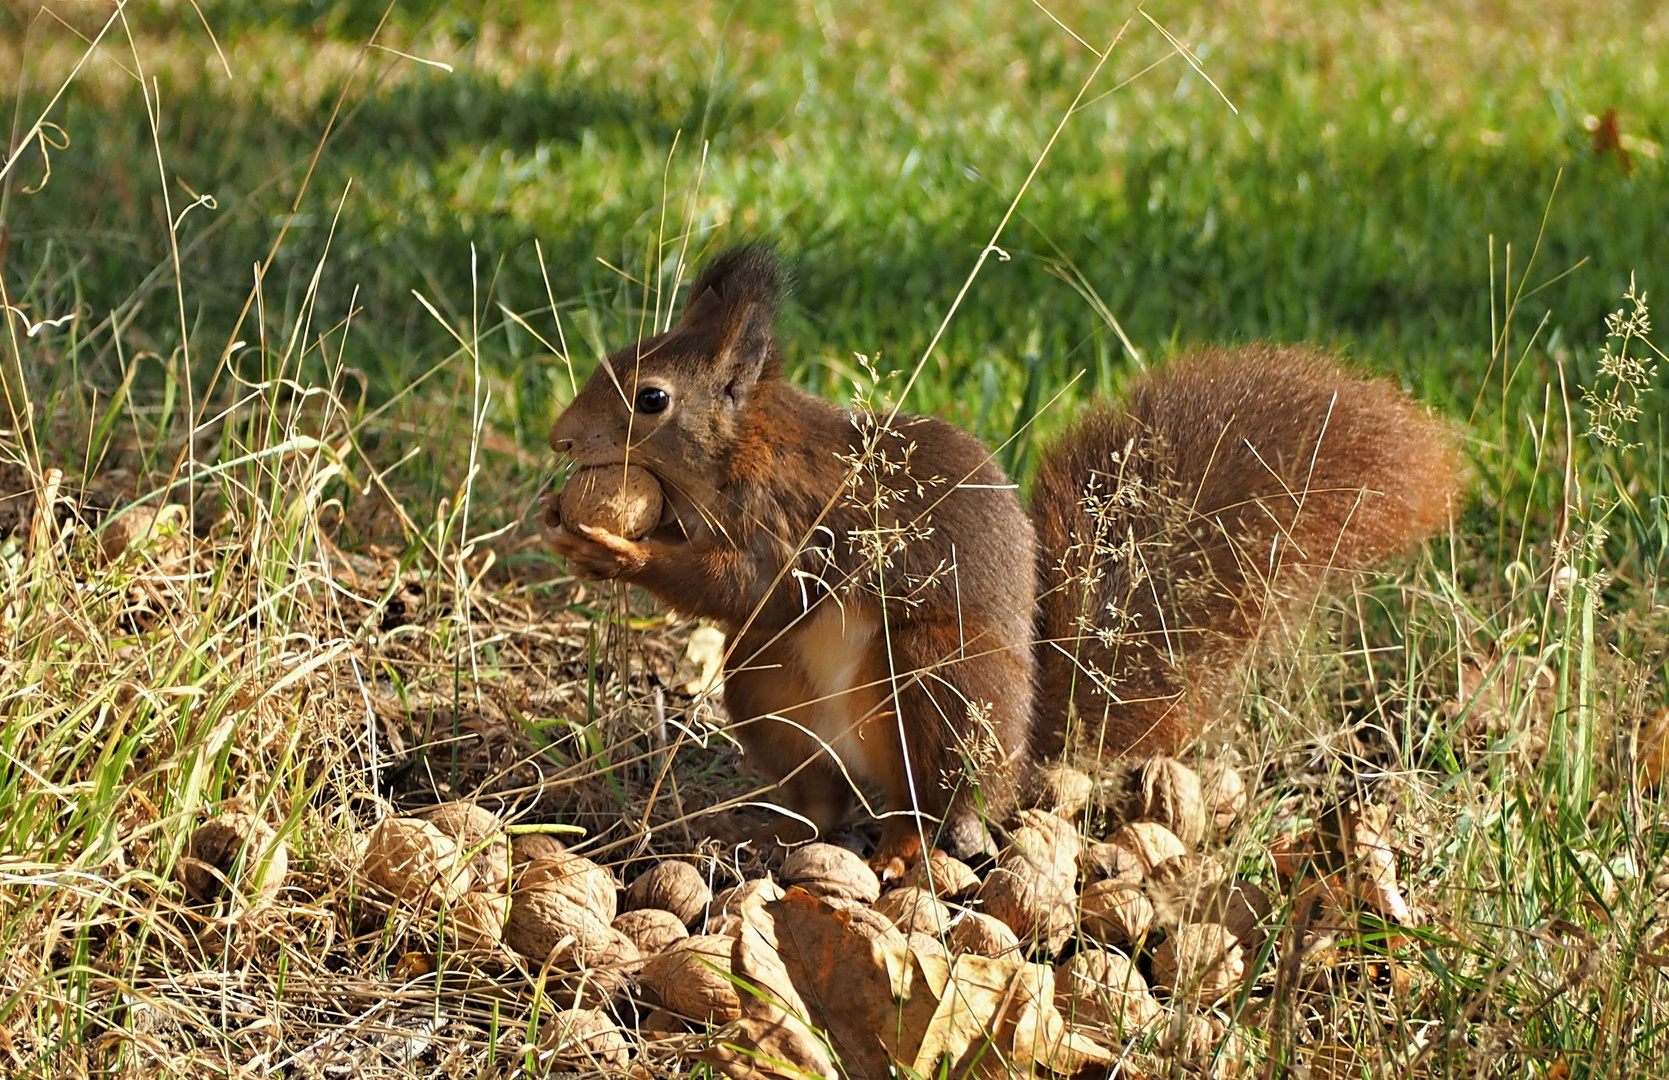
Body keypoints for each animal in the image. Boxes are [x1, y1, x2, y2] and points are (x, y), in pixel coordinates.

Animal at [547, 247, 1462, 881]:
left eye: (651, 398)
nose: (558, 440)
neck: (736, 450)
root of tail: (1023, 755)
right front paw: (561, 522)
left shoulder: (794, 518)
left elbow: (745, 584)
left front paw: (616, 546)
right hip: (766, 690)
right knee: (822, 800)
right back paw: (768, 825)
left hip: (936, 680)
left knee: (937, 803)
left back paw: (904, 846)